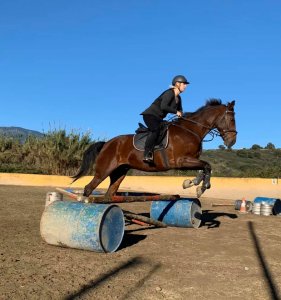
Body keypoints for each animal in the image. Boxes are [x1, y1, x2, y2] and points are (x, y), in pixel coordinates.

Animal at [71, 98, 236, 199]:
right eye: (231, 119)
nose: (232, 141)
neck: (191, 130)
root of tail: (106, 143)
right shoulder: (181, 161)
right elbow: (207, 166)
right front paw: (201, 187)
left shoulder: (192, 160)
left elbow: (204, 168)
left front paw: (193, 184)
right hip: (104, 170)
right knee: (89, 188)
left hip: (119, 172)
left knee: (110, 193)